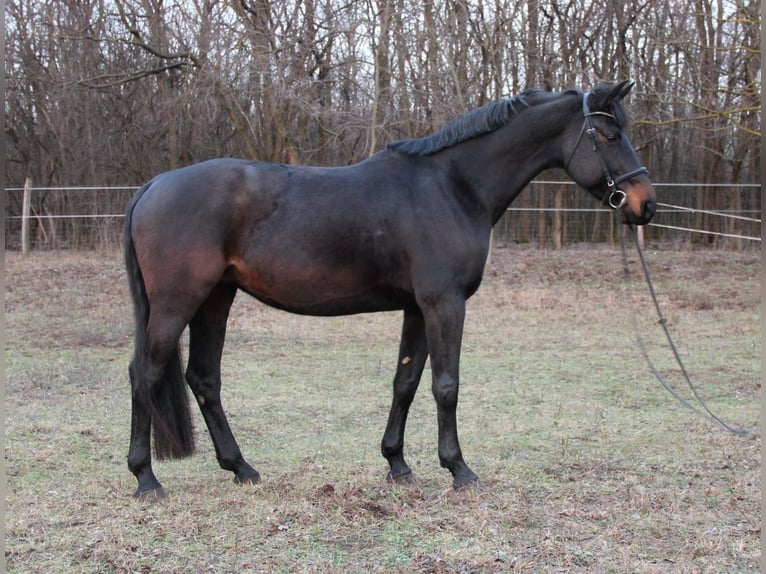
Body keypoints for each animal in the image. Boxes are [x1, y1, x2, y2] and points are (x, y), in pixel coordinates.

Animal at [124, 80, 656, 499]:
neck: (453, 186)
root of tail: (152, 186)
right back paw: (146, 479)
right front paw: (459, 469)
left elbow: (406, 381)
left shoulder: (417, 309)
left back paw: (241, 468)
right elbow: (446, 384)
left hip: (216, 298)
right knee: (144, 374)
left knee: (204, 379)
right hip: (177, 302)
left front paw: (397, 464)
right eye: (609, 135)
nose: (645, 204)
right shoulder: (445, 304)